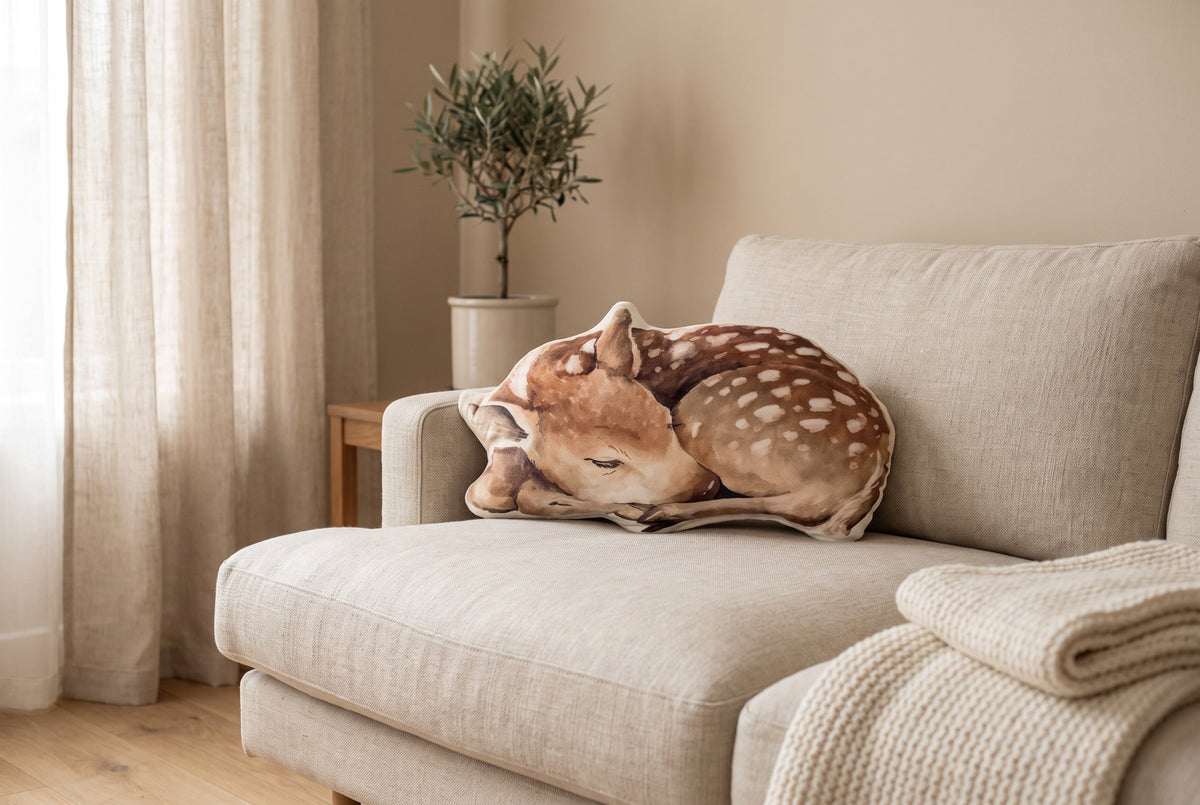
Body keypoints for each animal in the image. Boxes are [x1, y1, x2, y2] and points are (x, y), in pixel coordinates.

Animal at [459, 301, 894, 541]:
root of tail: (876, 462)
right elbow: (487, 493)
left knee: (802, 504)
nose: (706, 486)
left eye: (667, 422)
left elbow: (502, 494)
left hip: (721, 411)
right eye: (603, 461)